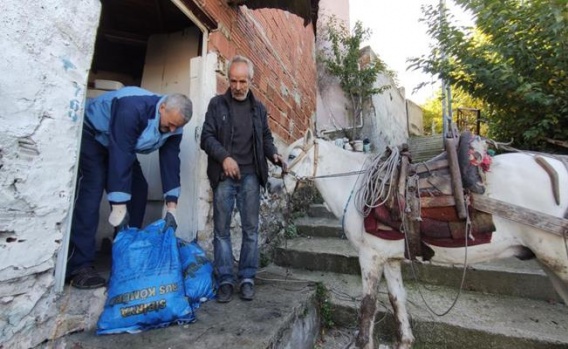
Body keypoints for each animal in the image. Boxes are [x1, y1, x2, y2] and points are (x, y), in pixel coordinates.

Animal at [282, 130, 568, 348]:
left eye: (292, 156)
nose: (276, 184)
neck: (356, 186)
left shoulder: (370, 256)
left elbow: (368, 306)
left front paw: (363, 342)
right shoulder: (389, 258)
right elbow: (397, 299)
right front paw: (405, 341)